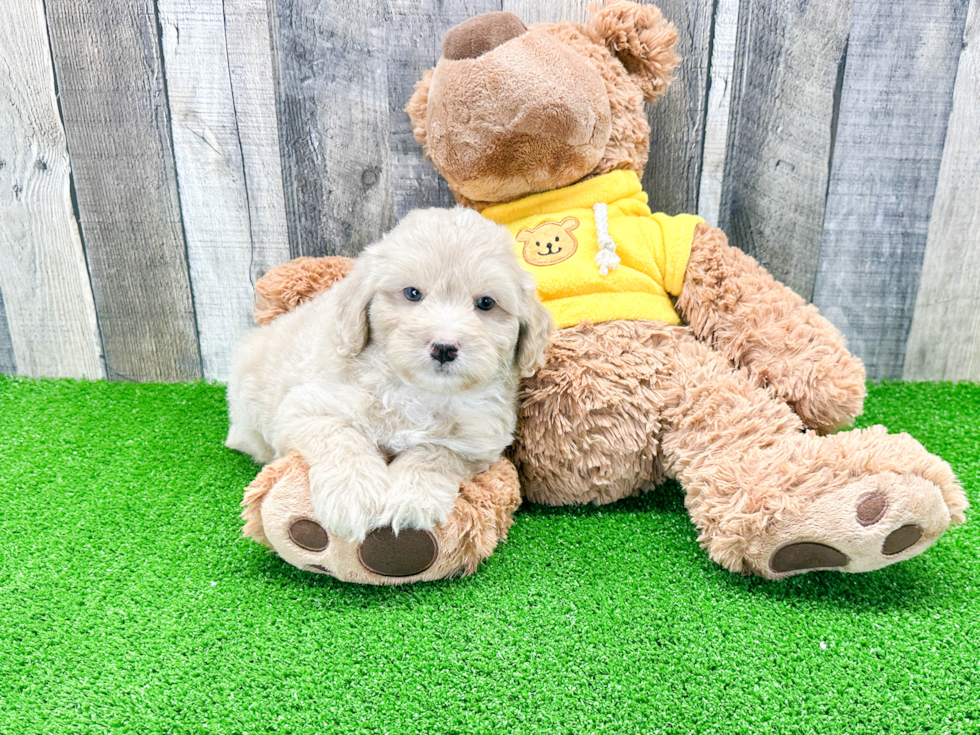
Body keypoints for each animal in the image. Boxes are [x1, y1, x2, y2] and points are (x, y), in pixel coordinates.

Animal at [225, 207, 556, 540]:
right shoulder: (305, 407)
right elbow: (340, 436)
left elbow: (435, 454)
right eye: (412, 293)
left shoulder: (478, 442)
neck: (419, 392)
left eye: (486, 303)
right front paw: (352, 494)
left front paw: (412, 499)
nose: (444, 348)